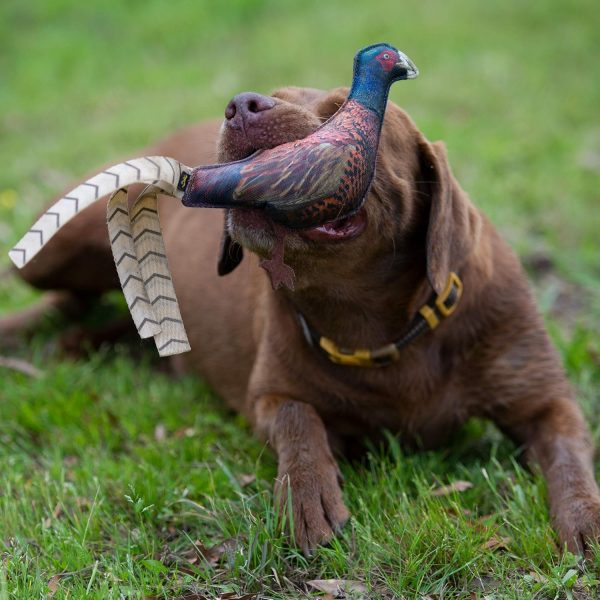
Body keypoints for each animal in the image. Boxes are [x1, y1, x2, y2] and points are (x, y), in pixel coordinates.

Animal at [4, 84, 600, 552]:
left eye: (348, 112)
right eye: (277, 93)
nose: (241, 105)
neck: (375, 322)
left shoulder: (546, 401)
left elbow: (571, 458)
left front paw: (586, 521)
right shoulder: (269, 396)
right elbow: (300, 420)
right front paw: (309, 494)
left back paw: (80, 343)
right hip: (65, 243)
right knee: (63, 294)